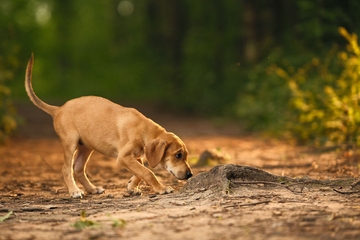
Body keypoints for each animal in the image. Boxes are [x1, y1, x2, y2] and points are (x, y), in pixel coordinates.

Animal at [25, 54, 193, 199]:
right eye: (178, 155)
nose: (190, 175)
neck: (144, 131)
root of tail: (58, 109)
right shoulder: (123, 157)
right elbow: (147, 172)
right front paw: (161, 188)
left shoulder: (134, 156)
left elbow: (140, 171)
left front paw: (131, 187)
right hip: (70, 142)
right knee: (66, 169)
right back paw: (74, 191)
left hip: (86, 146)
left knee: (78, 168)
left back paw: (92, 189)